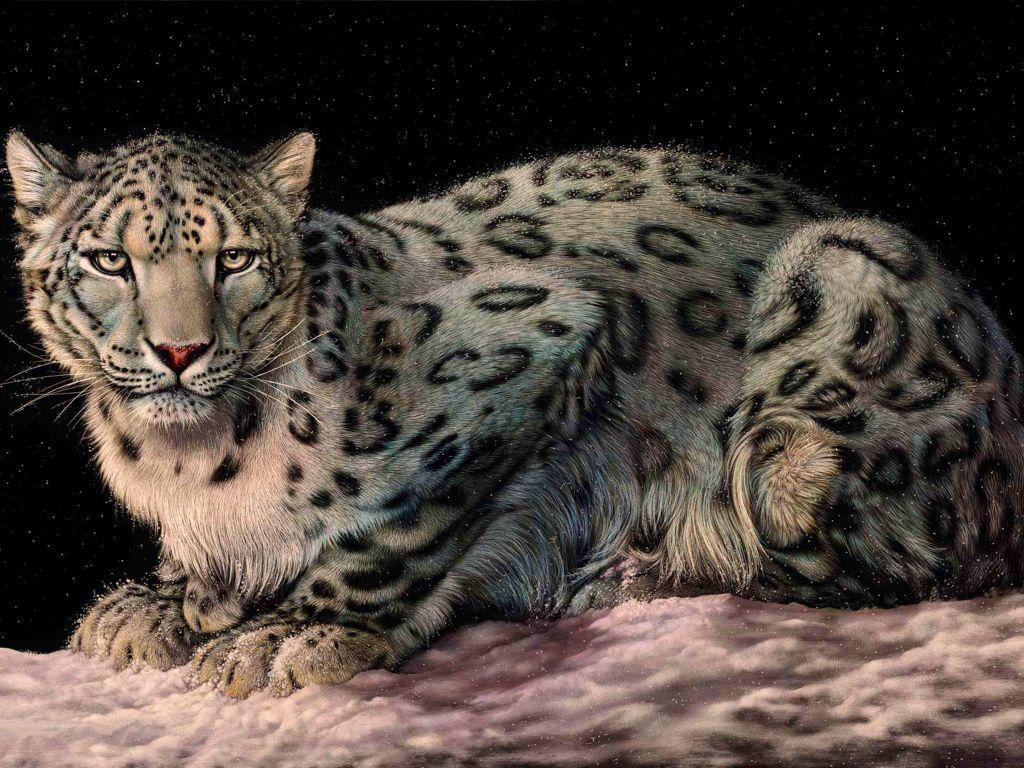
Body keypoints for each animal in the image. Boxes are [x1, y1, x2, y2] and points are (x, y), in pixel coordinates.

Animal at [7, 130, 1024, 699]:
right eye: (109, 260)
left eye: (236, 259)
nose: (179, 351)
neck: (185, 457)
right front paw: (159, 603)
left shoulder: (538, 339)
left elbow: (402, 527)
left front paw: (291, 633)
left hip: (822, 358)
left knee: (889, 559)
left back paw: (640, 570)